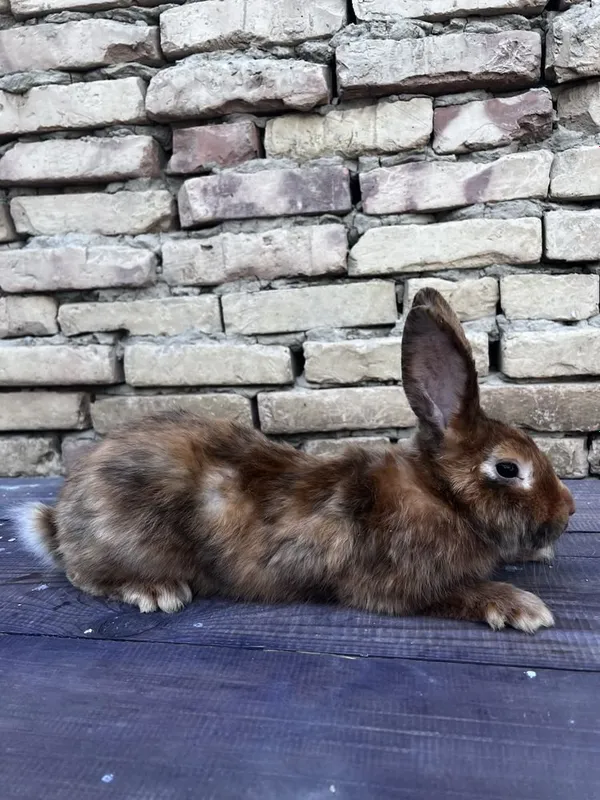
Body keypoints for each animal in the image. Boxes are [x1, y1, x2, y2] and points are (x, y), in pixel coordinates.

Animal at [15, 288, 575, 633]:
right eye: (508, 469)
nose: (568, 512)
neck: (442, 494)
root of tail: (59, 520)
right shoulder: (396, 585)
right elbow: (456, 593)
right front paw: (520, 607)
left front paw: (539, 556)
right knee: (86, 576)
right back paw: (155, 589)